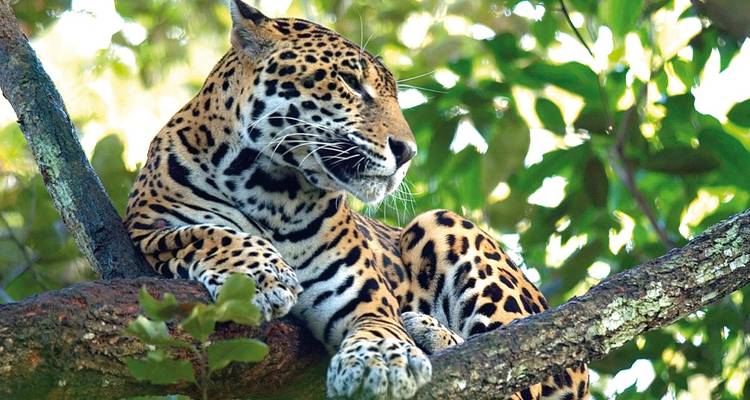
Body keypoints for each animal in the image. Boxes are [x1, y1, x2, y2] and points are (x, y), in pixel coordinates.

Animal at [123, 1, 590, 399]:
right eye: (350, 82)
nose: (408, 151)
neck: (270, 188)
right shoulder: (148, 226)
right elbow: (208, 233)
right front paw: (262, 275)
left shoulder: (364, 296)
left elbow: (382, 323)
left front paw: (382, 360)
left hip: (444, 225)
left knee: (514, 362)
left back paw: (428, 330)